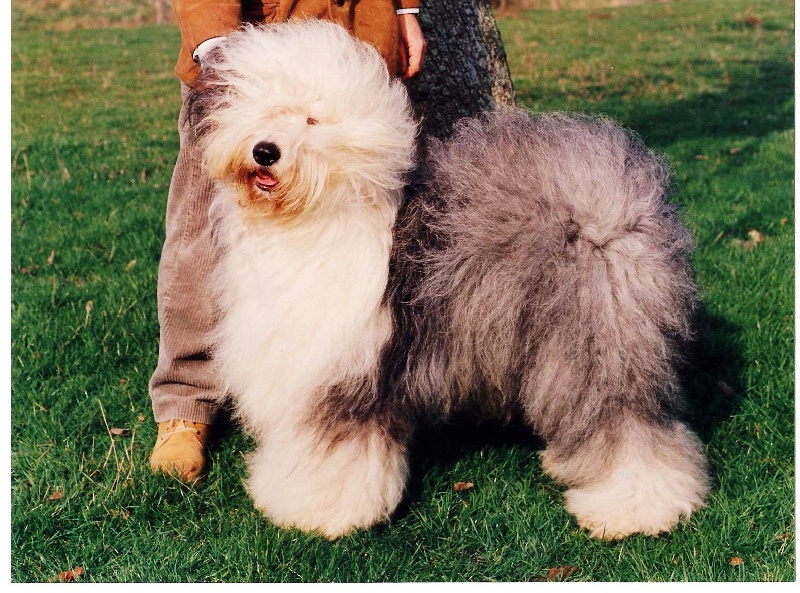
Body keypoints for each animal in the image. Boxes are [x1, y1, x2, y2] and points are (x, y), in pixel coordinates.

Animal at [191, 20, 710, 541]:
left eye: (312, 121)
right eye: (266, 110)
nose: (265, 151)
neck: (313, 218)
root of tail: (622, 198)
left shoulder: (348, 374)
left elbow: (335, 452)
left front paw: (316, 510)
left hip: (598, 342)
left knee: (629, 426)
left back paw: (634, 510)